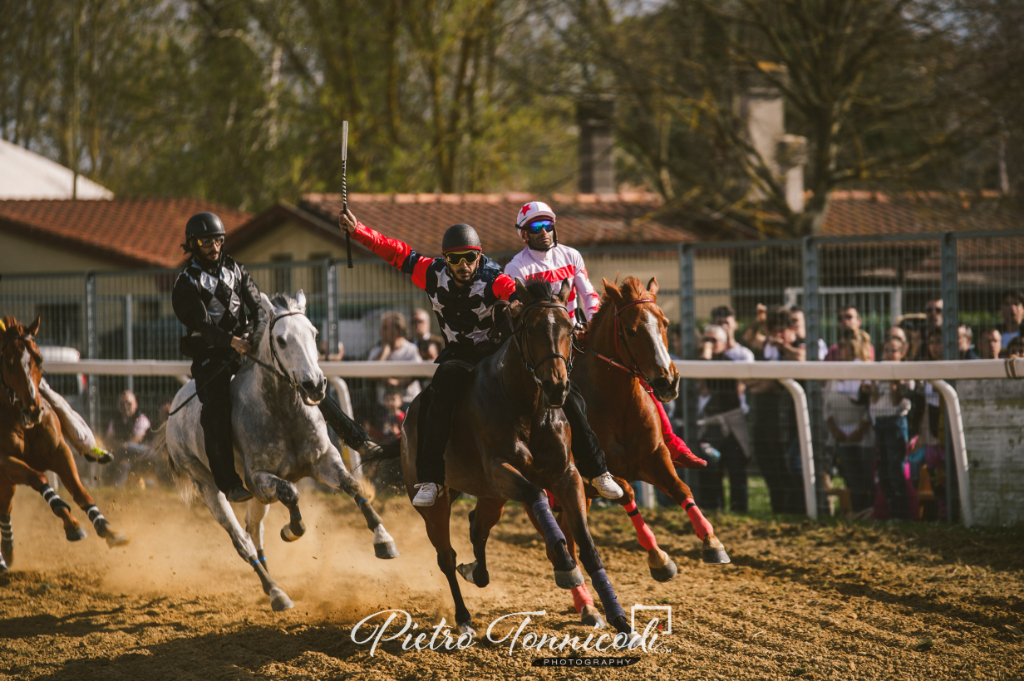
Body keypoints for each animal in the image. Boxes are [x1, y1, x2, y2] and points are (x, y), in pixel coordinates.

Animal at [0, 315, 128, 569]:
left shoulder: (59, 452)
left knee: (5, 507)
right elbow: (38, 478)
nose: (33, 410)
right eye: (8, 363)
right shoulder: (6, 461)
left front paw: (107, 529)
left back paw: (8, 550)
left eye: (39, 359)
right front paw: (72, 524)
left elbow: (80, 492)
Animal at [153, 288, 397, 606]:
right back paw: (275, 591)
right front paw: (292, 530)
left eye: (314, 333)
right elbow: (291, 493)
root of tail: (172, 417)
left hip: (258, 497)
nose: (314, 385)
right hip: (209, 486)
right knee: (242, 540)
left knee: (253, 528)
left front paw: (384, 539)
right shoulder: (259, 478)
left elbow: (352, 485)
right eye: (281, 339)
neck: (283, 413)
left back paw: (271, 583)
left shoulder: (323, 460)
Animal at [376, 276, 638, 639]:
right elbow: (536, 495)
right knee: (446, 555)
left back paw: (477, 572)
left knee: (477, 527)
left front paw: (619, 619)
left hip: (490, 496)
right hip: (435, 501)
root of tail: (405, 423)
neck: (527, 407)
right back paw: (463, 617)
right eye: (530, 327)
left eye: (569, 328)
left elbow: (588, 547)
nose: (557, 385)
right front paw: (565, 566)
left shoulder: (566, 474)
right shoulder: (501, 469)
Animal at [524, 274, 733, 626]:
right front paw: (659, 558)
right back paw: (585, 604)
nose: (667, 382)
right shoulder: (595, 476)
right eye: (632, 330)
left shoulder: (655, 457)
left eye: (664, 323)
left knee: (570, 536)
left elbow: (681, 489)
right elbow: (627, 494)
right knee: (560, 547)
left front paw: (712, 542)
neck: (617, 404)